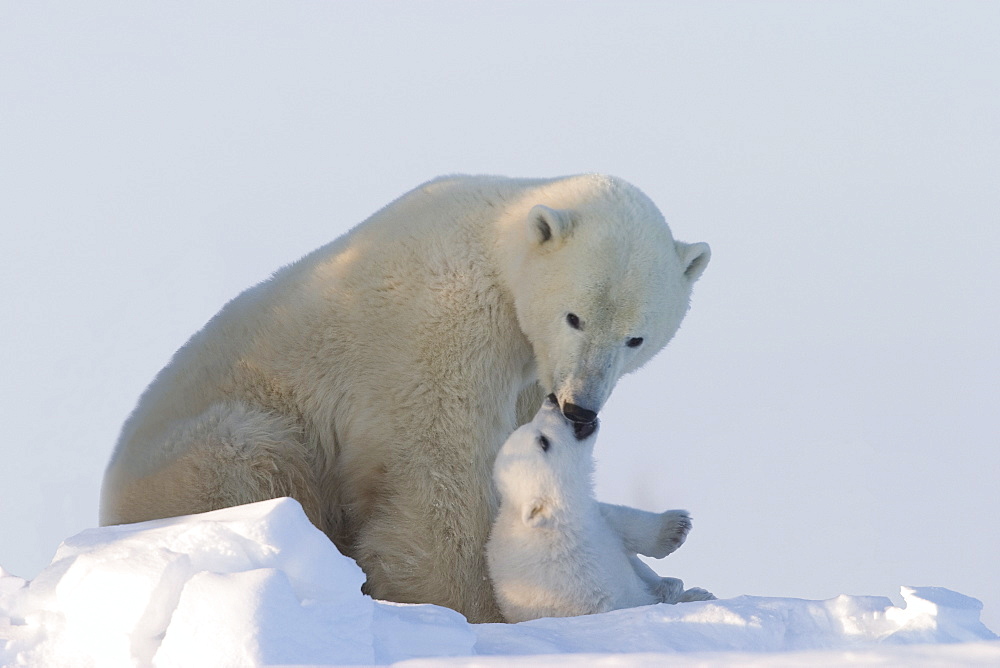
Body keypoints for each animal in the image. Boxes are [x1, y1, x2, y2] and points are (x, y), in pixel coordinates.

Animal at [101, 175, 712, 624]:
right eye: (574, 316)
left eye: (636, 338)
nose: (581, 407)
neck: (495, 245)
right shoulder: (443, 332)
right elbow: (438, 475)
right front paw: (472, 607)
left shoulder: (527, 372)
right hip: (202, 452)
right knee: (250, 458)